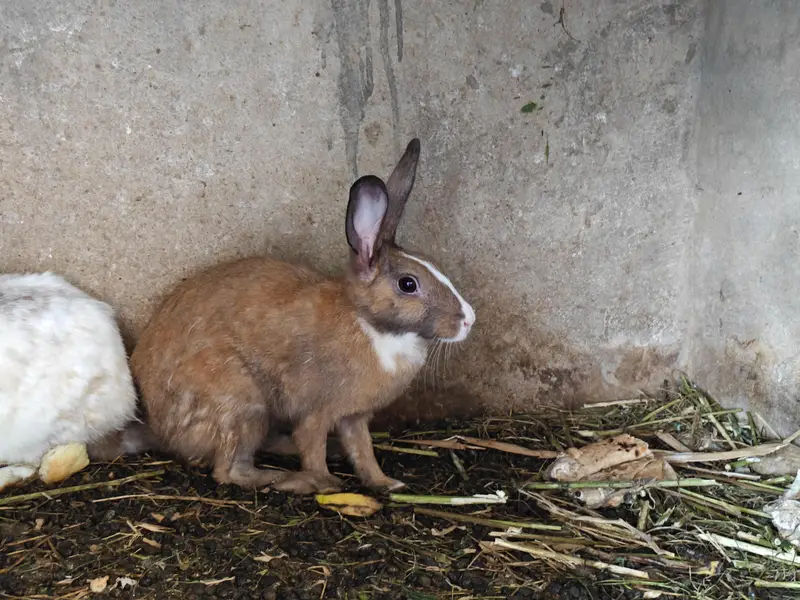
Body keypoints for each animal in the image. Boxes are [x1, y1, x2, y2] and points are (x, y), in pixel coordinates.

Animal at [116, 138, 475, 494]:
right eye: (408, 284)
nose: (468, 320)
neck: (371, 325)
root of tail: (161, 428)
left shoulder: (353, 417)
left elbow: (363, 452)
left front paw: (387, 483)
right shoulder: (318, 411)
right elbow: (312, 447)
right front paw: (327, 484)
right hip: (245, 407)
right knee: (228, 470)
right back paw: (282, 480)